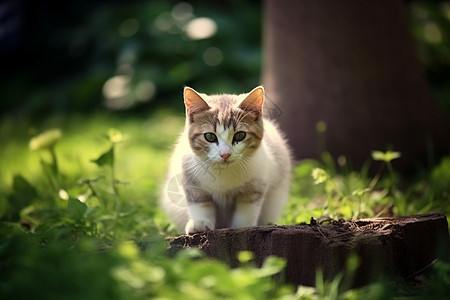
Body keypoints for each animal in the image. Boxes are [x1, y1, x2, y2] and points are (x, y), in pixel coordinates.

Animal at [162, 85, 292, 234]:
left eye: (240, 135)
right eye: (210, 136)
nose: (225, 154)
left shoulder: (257, 183)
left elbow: (248, 208)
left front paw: (243, 226)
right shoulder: (189, 177)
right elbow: (199, 202)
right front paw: (200, 222)